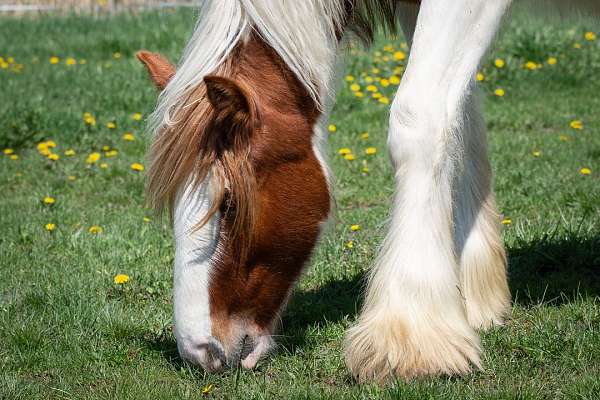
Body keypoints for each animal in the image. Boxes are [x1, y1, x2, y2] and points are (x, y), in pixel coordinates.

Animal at [137, 0, 600, 382]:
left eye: (229, 203)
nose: (200, 350)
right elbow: (460, 121)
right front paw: (472, 300)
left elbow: (419, 117)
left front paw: (411, 336)